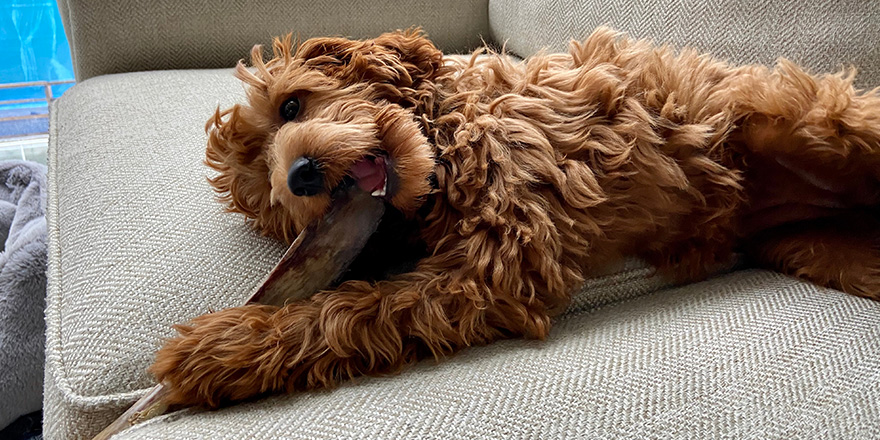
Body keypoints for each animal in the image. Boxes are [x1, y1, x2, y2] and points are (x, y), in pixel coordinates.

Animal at [150, 29, 880, 408]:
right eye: (273, 200)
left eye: (292, 107)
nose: (298, 175)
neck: (446, 145)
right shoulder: (480, 272)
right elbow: (349, 311)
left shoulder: (502, 258)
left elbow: (345, 309)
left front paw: (211, 349)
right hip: (819, 248)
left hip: (806, 117)